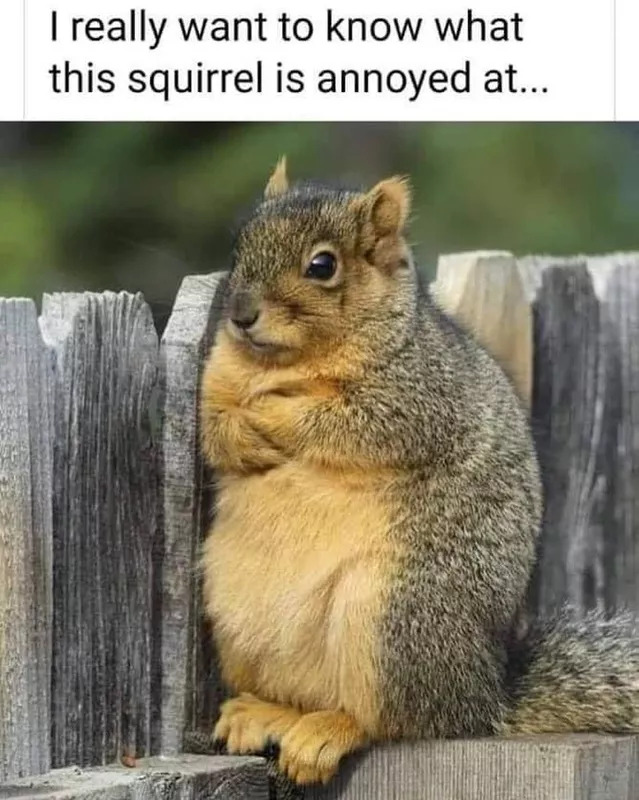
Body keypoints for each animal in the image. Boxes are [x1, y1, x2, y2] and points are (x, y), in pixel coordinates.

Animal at [199, 159, 639, 786]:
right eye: (240, 242)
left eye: (322, 265)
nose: (239, 315)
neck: (284, 363)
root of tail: (483, 698)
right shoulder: (214, 381)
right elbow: (213, 429)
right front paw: (243, 432)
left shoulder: (418, 395)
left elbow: (346, 422)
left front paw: (272, 413)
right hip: (237, 619)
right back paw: (265, 713)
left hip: (392, 619)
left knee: (393, 720)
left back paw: (328, 732)